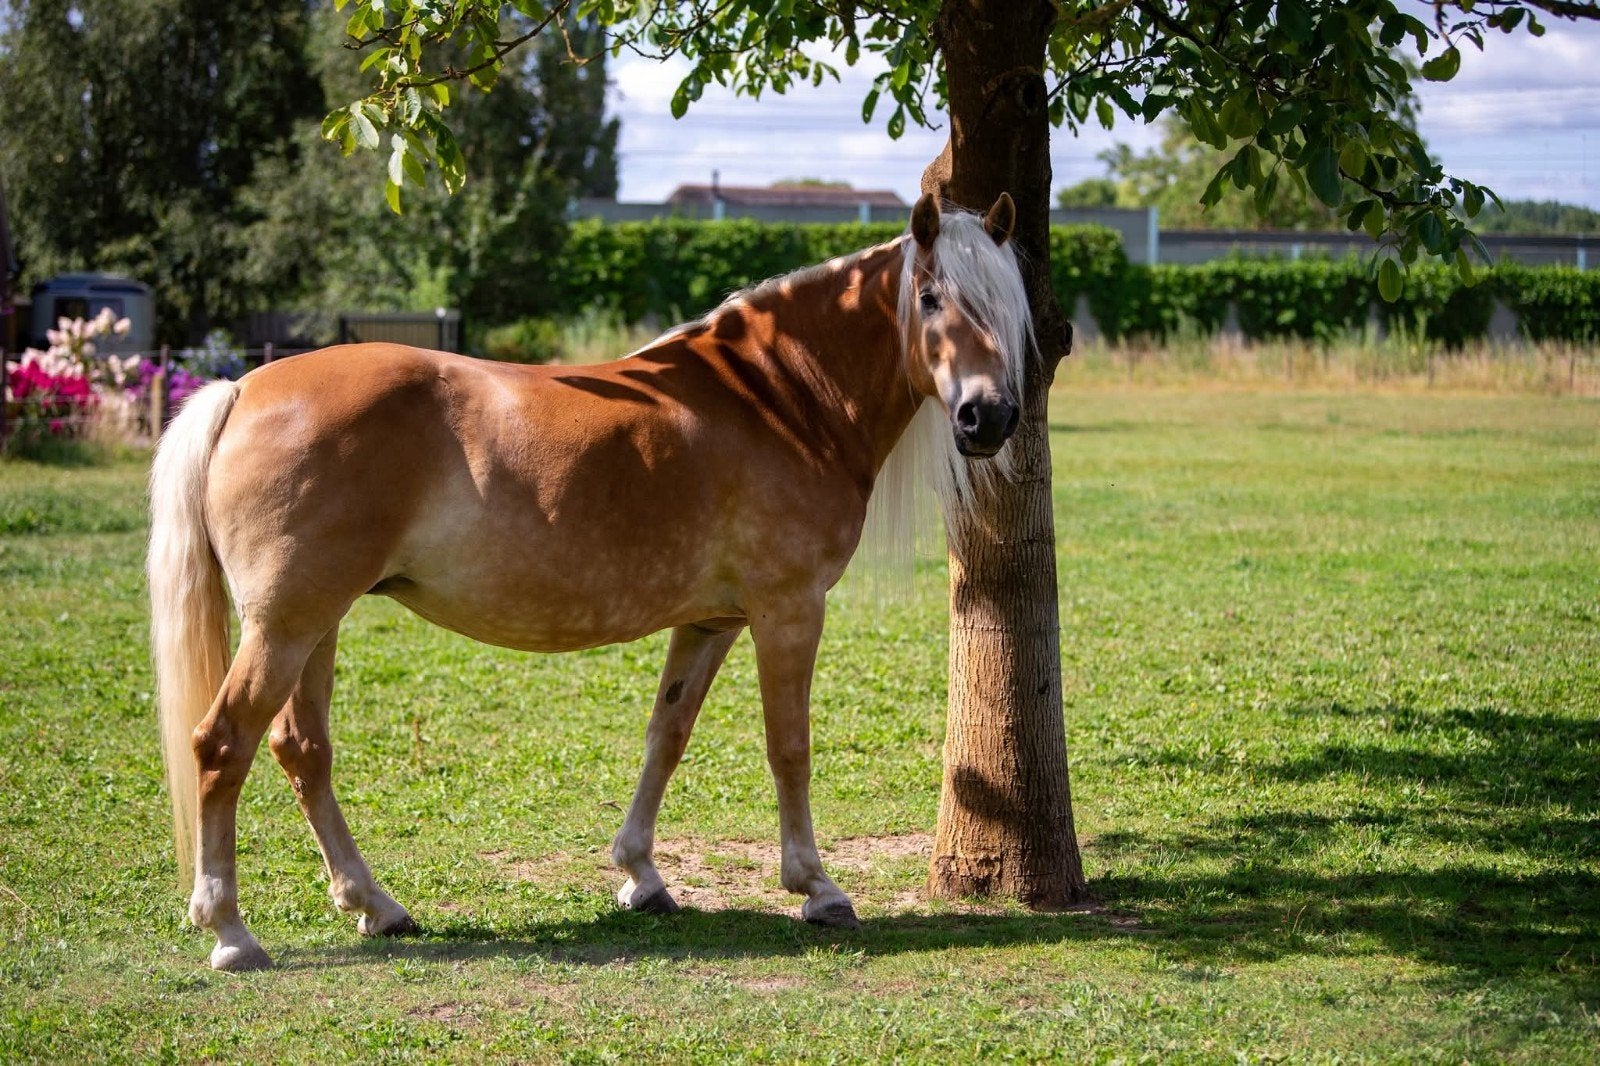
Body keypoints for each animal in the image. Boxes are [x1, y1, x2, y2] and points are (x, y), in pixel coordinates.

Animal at [148, 191, 1034, 971]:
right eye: (930, 296)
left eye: (1005, 306)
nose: (987, 418)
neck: (776, 402)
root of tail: (244, 388)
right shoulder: (788, 611)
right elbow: (789, 747)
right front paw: (815, 887)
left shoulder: (711, 622)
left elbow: (666, 735)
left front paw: (641, 874)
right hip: (286, 627)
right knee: (222, 745)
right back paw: (230, 931)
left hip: (314, 625)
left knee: (302, 750)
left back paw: (375, 905)